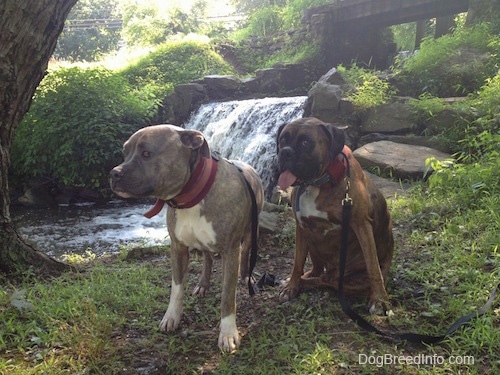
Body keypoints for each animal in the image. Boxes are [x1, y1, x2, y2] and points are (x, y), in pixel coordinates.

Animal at [110, 125, 266, 352]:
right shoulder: (178, 247)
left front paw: (228, 333)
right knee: (207, 258)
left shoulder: (230, 251)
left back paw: (246, 275)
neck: (190, 196)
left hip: (250, 231)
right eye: (125, 152)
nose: (114, 173)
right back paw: (202, 284)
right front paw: (171, 317)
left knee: (245, 253)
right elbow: (176, 288)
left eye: (146, 153)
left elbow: (228, 296)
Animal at [276, 117, 392, 314]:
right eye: (283, 139)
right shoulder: (301, 227)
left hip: (349, 278)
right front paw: (292, 286)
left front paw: (379, 300)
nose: (285, 152)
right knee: (318, 271)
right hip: (312, 240)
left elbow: (373, 266)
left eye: (306, 142)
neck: (318, 182)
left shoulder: (362, 225)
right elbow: (297, 263)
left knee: (326, 280)